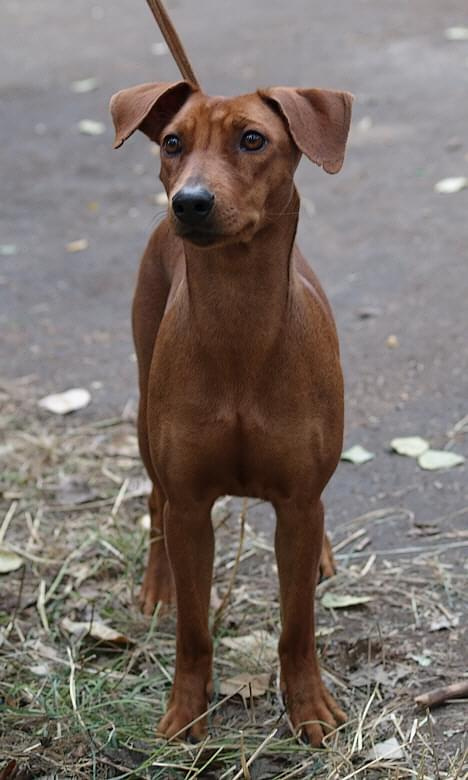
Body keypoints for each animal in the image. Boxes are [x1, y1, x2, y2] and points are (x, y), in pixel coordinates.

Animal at [109, 82, 352, 748]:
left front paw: (310, 710)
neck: (240, 329)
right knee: (155, 503)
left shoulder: (298, 504)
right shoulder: (193, 507)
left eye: (252, 139)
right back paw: (156, 585)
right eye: (172, 142)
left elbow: (297, 626)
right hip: (146, 420)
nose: (189, 203)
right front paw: (184, 713)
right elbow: (194, 631)